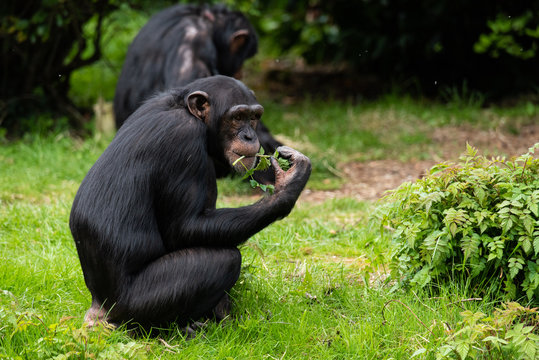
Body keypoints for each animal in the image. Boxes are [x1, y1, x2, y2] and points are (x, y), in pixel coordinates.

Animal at [69, 76, 312, 332]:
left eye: (254, 117)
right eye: (237, 117)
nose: (249, 136)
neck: (187, 111)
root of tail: (98, 310)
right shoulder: (184, 139)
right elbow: (185, 227)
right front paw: (289, 184)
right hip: (134, 305)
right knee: (226, 260)